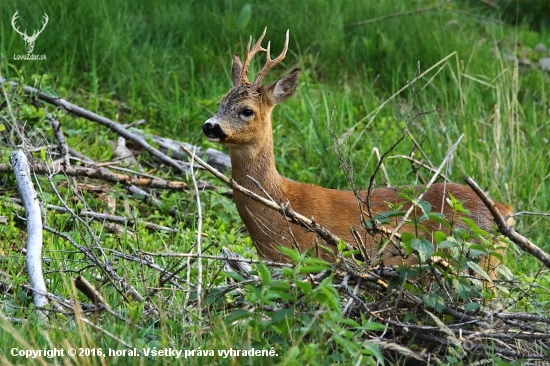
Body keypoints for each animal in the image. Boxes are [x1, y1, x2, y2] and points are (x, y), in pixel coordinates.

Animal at [202, 27, 512, 274]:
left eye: (247, 110)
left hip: (479, 261)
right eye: (220, 102)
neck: (279, 206)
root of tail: (504, 210)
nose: (209, 126)